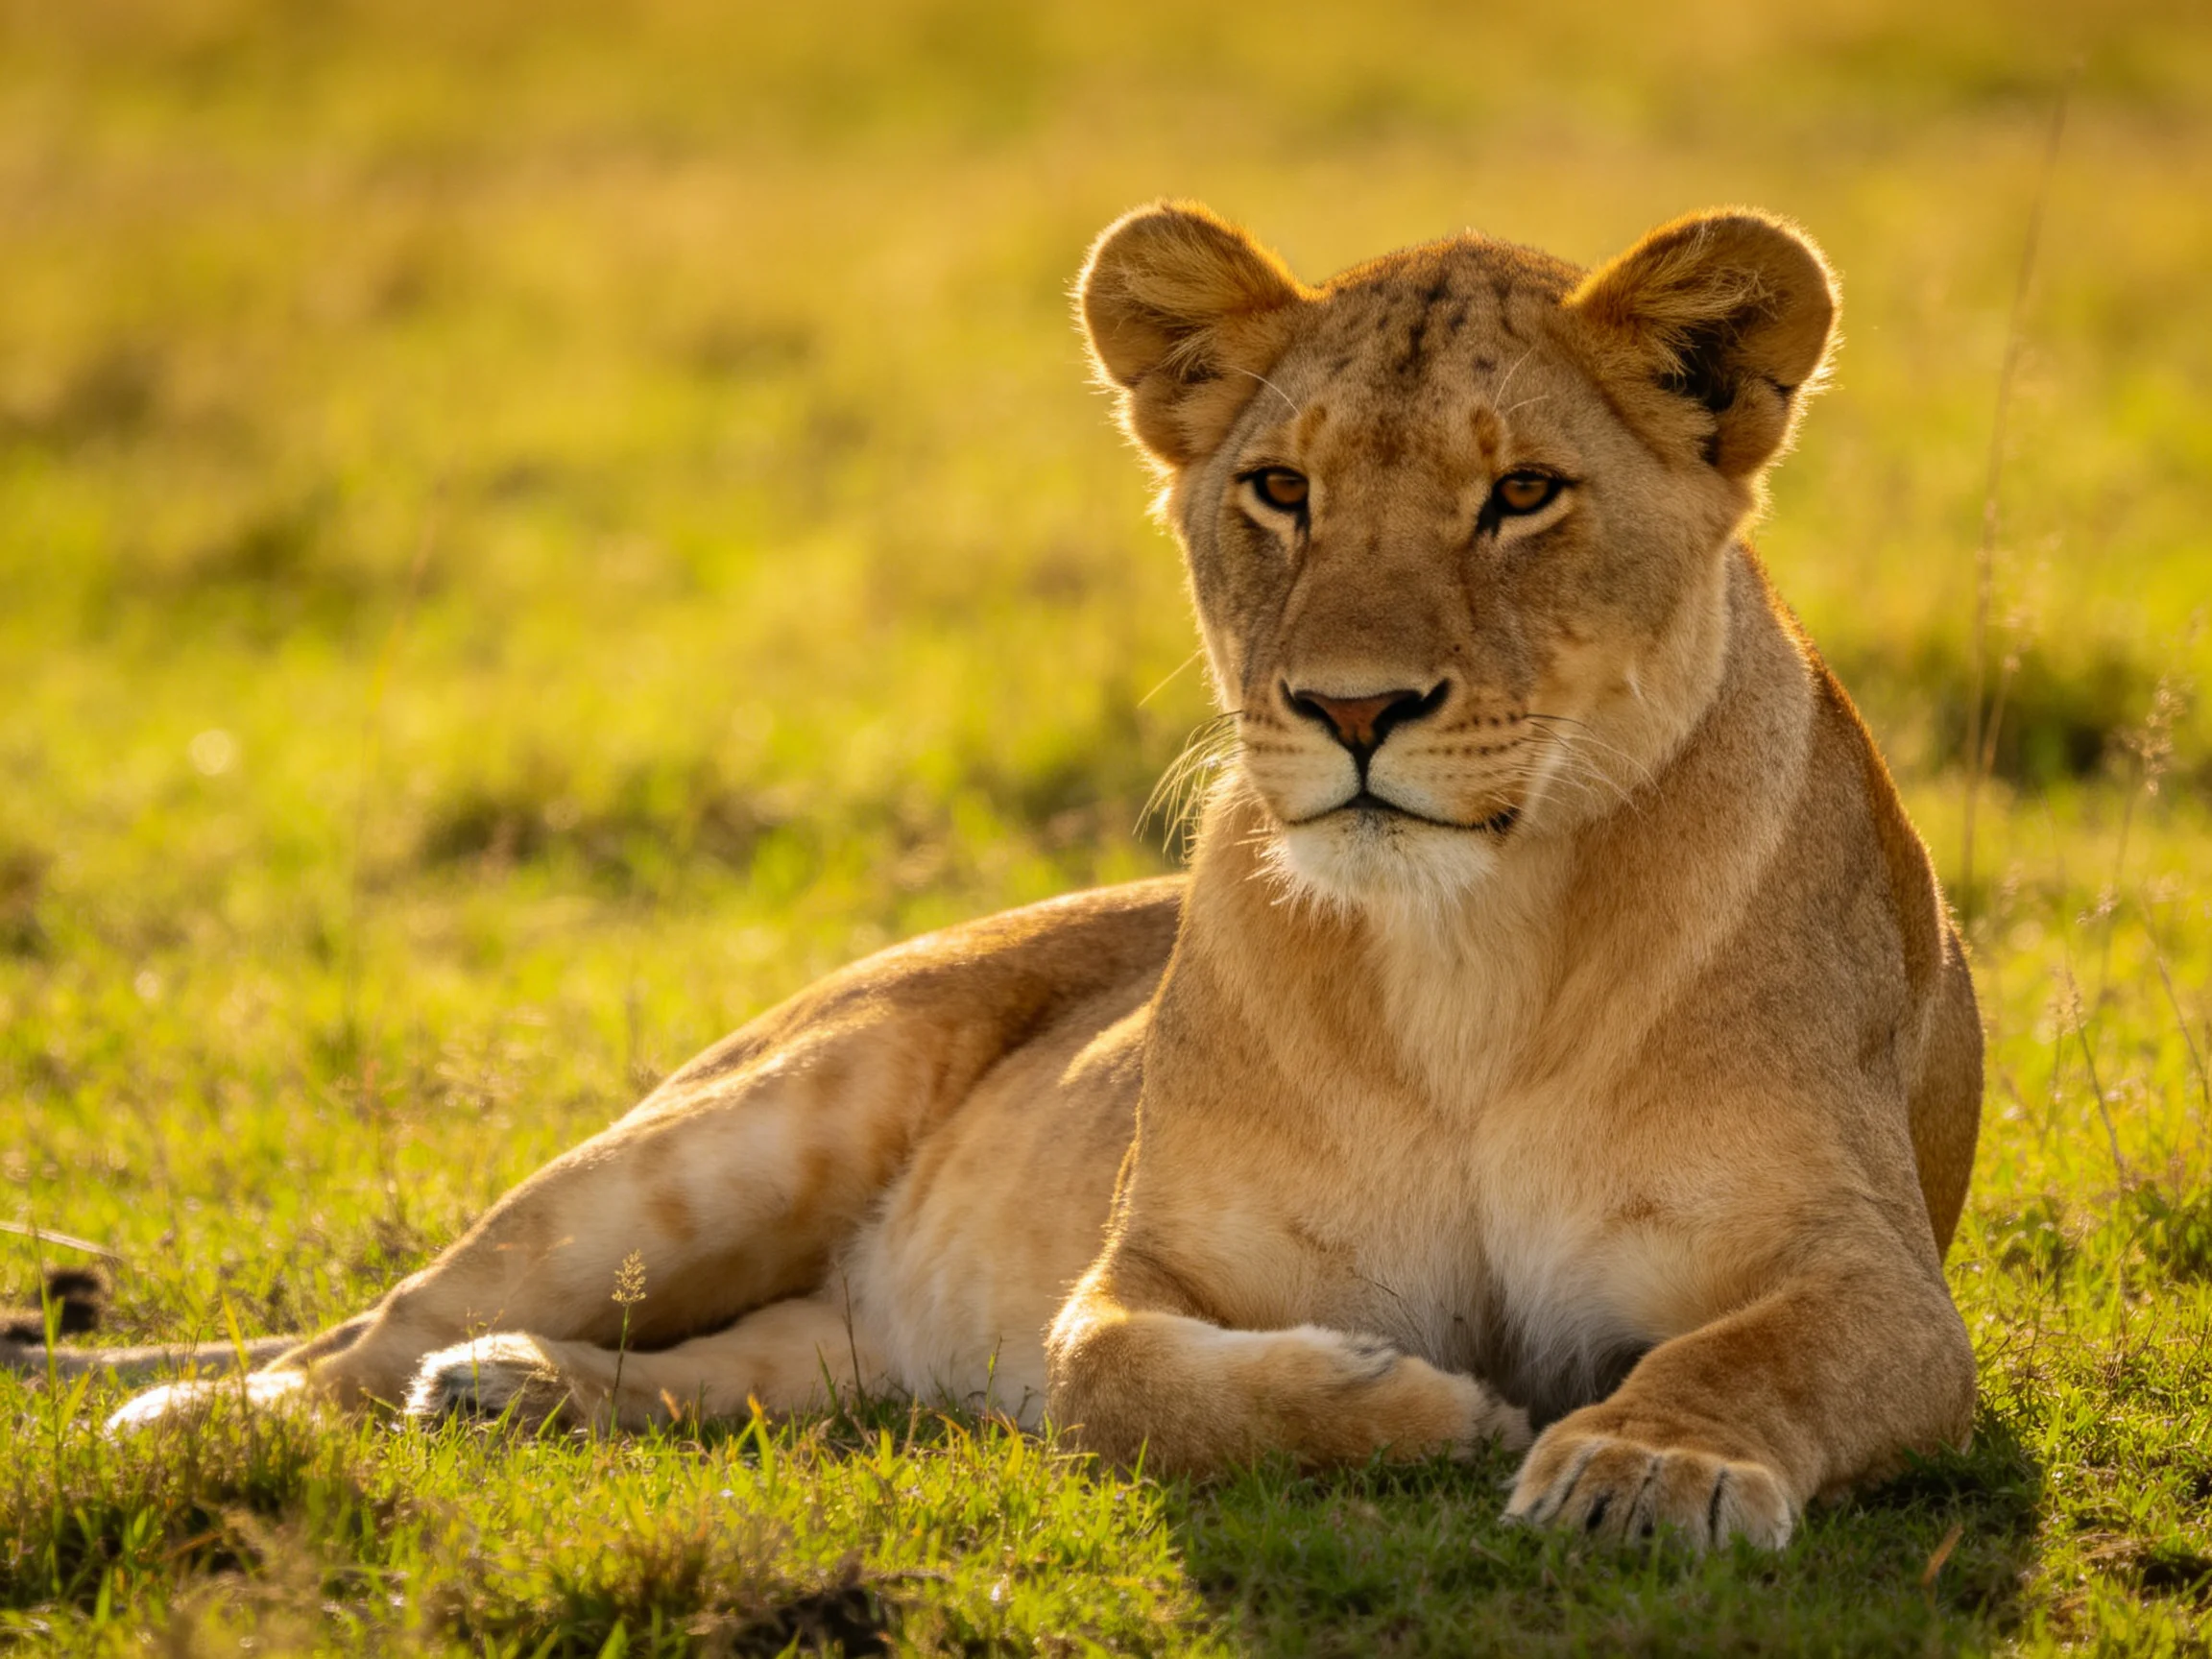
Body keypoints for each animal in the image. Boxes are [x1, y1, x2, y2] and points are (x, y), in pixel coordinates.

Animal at [97, 202, 1981, 1551]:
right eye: (1277, 489)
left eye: (1521, 492)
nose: (1350, 707)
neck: (1467, 956)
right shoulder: (1141, 1271)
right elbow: (1114, 1378)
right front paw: (1436, 1409)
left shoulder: (1877, 1272)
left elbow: (1749, 1346)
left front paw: (1645, 1467)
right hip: (719, 1143)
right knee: (359, 1337)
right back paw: (199, 1426)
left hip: (827, 1329)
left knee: (751, 1370)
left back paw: (509, 1394)